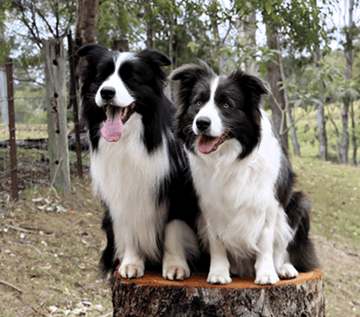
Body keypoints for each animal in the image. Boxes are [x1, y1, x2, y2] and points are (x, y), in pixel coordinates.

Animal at [77, 43, 200, 278]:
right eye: (101, 77)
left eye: (131, 78)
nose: (106, 92)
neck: (129, 141)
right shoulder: (121, 193)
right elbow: (128, 229)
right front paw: (131, 263)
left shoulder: (176, 189)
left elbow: (173, 229)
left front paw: (175, 265)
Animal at [170, 61, 320, 284]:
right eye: (198, 102)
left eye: (226, 105)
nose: (201, 122)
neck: (229, 159)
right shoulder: (208, 203)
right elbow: (216, 240)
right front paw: (219, 272)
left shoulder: (269, 202)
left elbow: (266, 241)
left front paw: (266, 273)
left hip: (298, 204)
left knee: (283, 247)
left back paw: (283, 268)